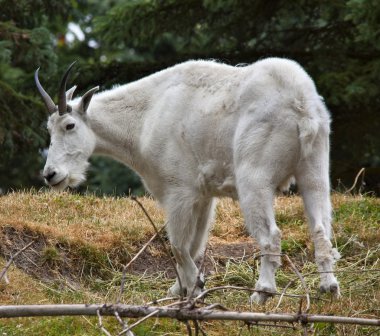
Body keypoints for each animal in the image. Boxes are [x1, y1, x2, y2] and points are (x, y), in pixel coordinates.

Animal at [35, 58, 342, 304]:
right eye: (48, 129)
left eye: (70, 125)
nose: (51, 175)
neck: (145, 118)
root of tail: (301, 107)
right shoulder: (203, 196)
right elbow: (194, 245)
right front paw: (180, 289)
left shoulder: (179, 192)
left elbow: (178, 245)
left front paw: (195, 287)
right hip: (314, 167)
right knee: (320, 228)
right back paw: (329, 287)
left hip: (255, 178)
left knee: (271, 236)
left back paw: (262, 293)